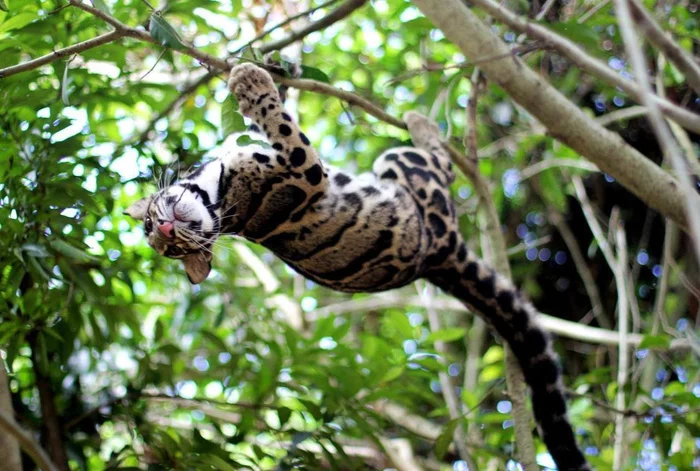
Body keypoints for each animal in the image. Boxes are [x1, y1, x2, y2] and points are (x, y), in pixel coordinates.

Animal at [126, 63, 592, 471]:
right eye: (169, 246)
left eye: (151, 226)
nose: (166, 230)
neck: (218, 199)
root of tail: (439, 257)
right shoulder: (304, 170)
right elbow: (279, 121)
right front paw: (251, 81)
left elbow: (268, 119)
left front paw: (276, 67)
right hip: (406, 171)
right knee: (438, 165)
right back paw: (422, 124)